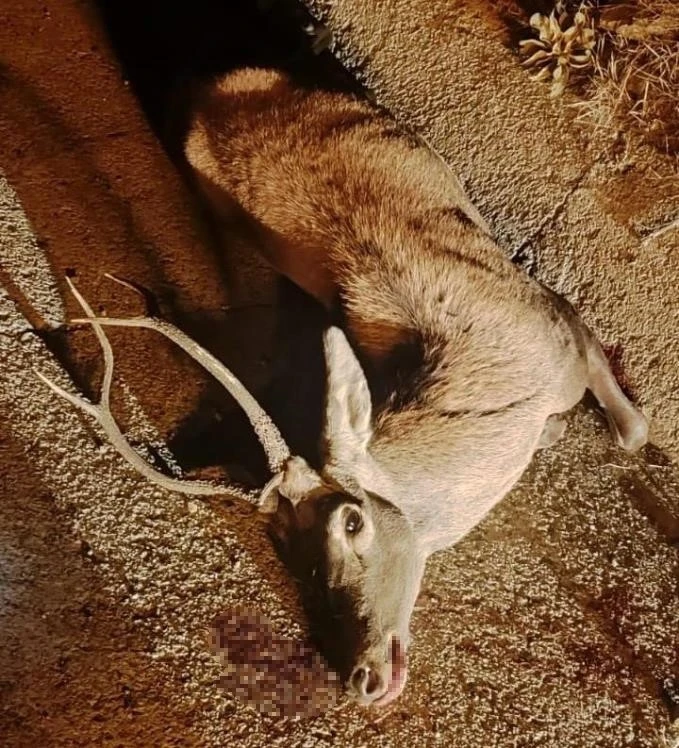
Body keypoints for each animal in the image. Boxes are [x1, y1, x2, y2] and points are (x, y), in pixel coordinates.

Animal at [35, 67, 648, 712]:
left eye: (351, 523)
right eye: (281, 543)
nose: (363, 676)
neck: (505, 383)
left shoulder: (559, 323)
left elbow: (633, 428)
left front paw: (579, 428)